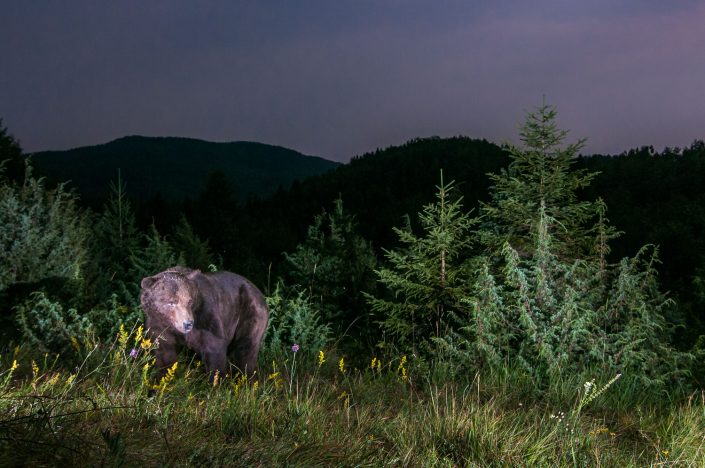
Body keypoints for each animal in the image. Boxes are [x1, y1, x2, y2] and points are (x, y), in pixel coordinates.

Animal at [140, 266, 270, 378]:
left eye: (189, 301)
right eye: (171, 302)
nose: (187, 323)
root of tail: (260, 292)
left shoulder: (205, 318)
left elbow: (214, 348)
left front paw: (215, 382)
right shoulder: (159, 324)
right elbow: (165, 352)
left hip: (250, 312)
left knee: (246, 348)